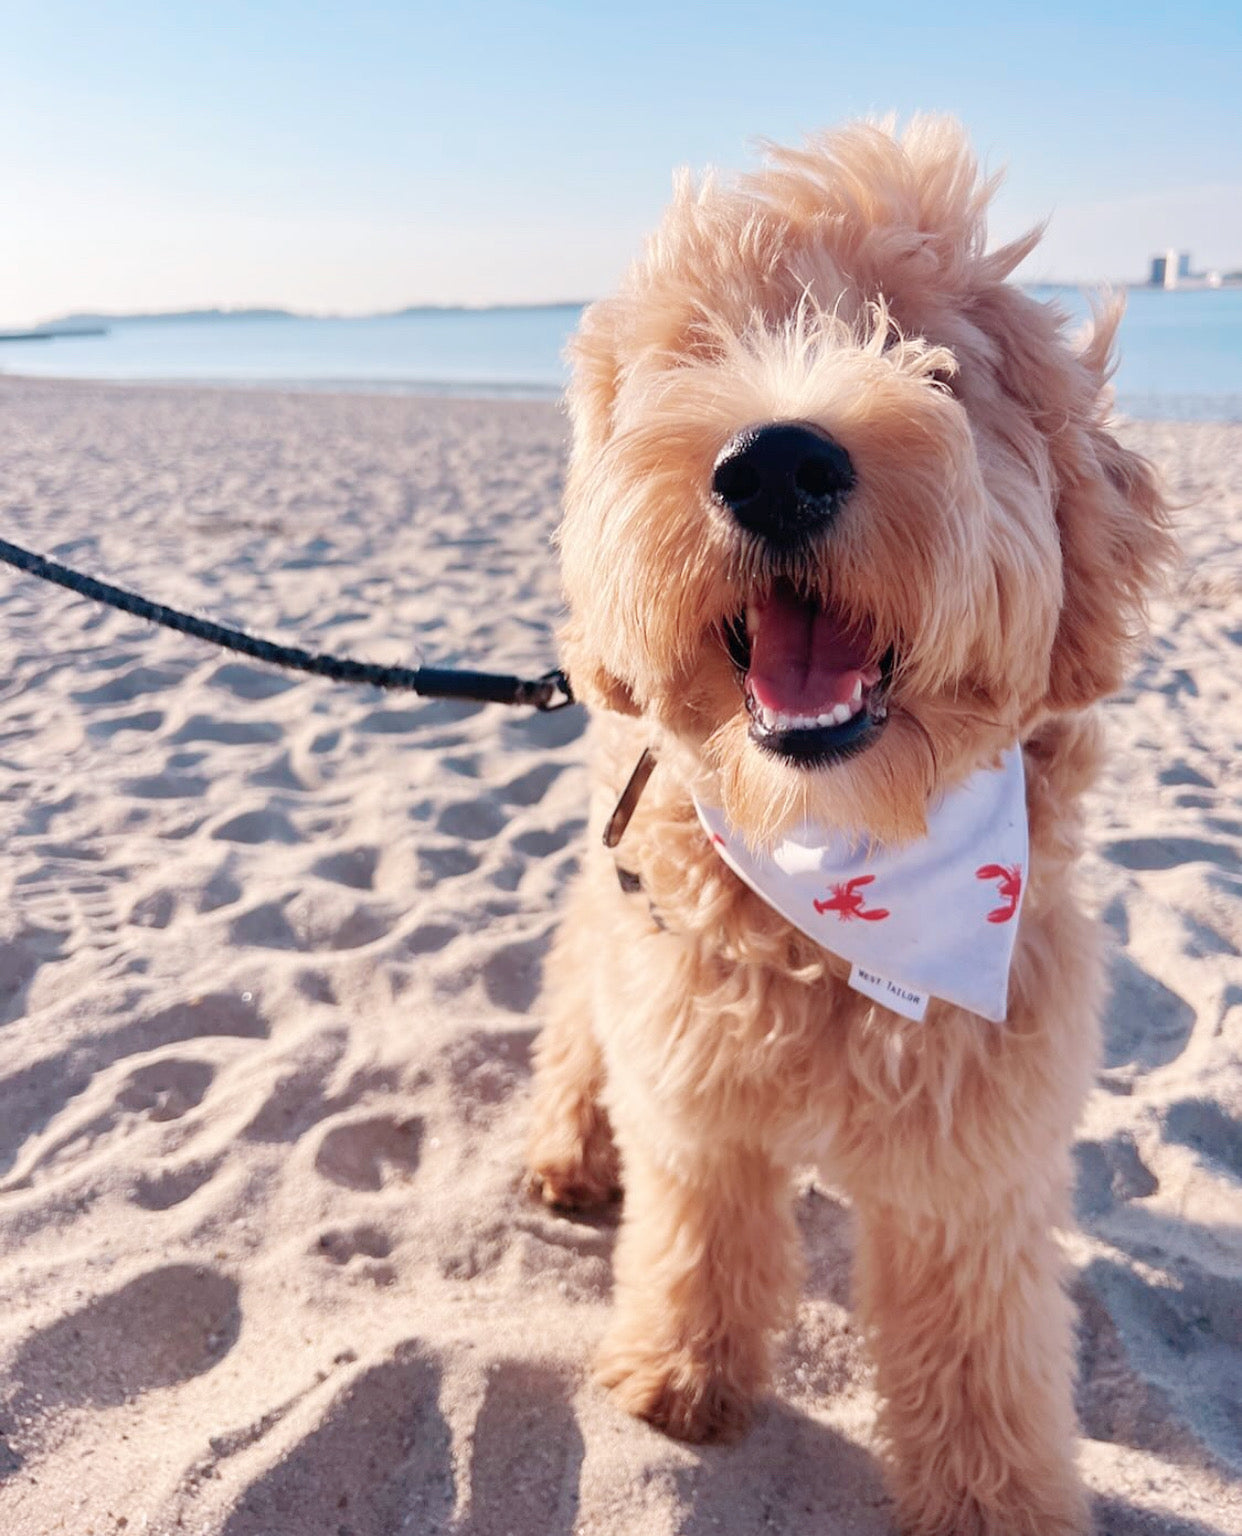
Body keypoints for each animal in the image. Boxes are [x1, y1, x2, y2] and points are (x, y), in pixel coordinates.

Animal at [521, 119, 1172, 1536]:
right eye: (698, 351)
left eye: (934, 361)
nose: (775, 463)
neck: (841, 869)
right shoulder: (692, 1072)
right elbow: (696, 1231)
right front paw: (681, 1375)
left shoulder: (978, 1145)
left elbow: (978, 1343)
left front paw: (995, 1499)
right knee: (574, 1012)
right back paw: (567, 1146)